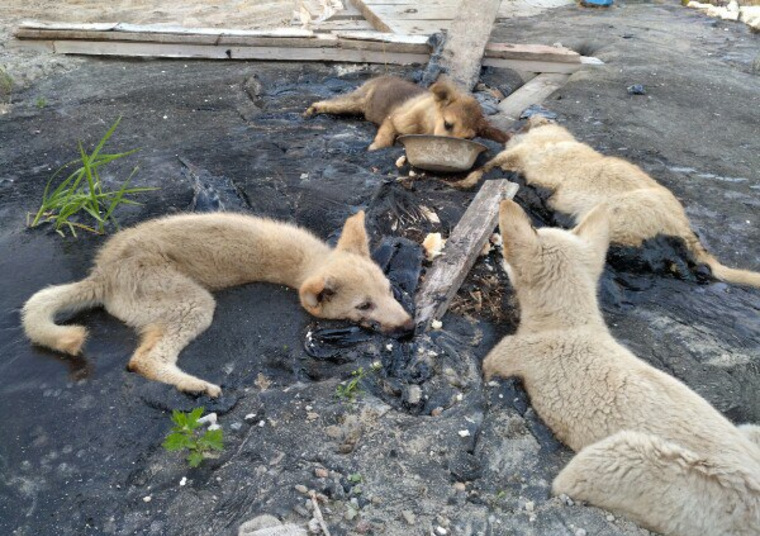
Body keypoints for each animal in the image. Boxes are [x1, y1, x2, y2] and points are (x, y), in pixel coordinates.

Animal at [23, 211, 412, 396]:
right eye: (363, 307)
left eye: (389, 291)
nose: (410, 329)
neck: (308, 259)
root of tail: (102, 275)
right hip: (188, 301)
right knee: (144, 359)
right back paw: (195, 385)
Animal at [300, 76, 508, 151]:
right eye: (447, 124)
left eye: (468, 139)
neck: (427, 120)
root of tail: (382, 77)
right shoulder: (393, 120)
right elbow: (384, 140)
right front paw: (374, 148)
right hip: (354, 102)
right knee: (327, 102)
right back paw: (312, 110)